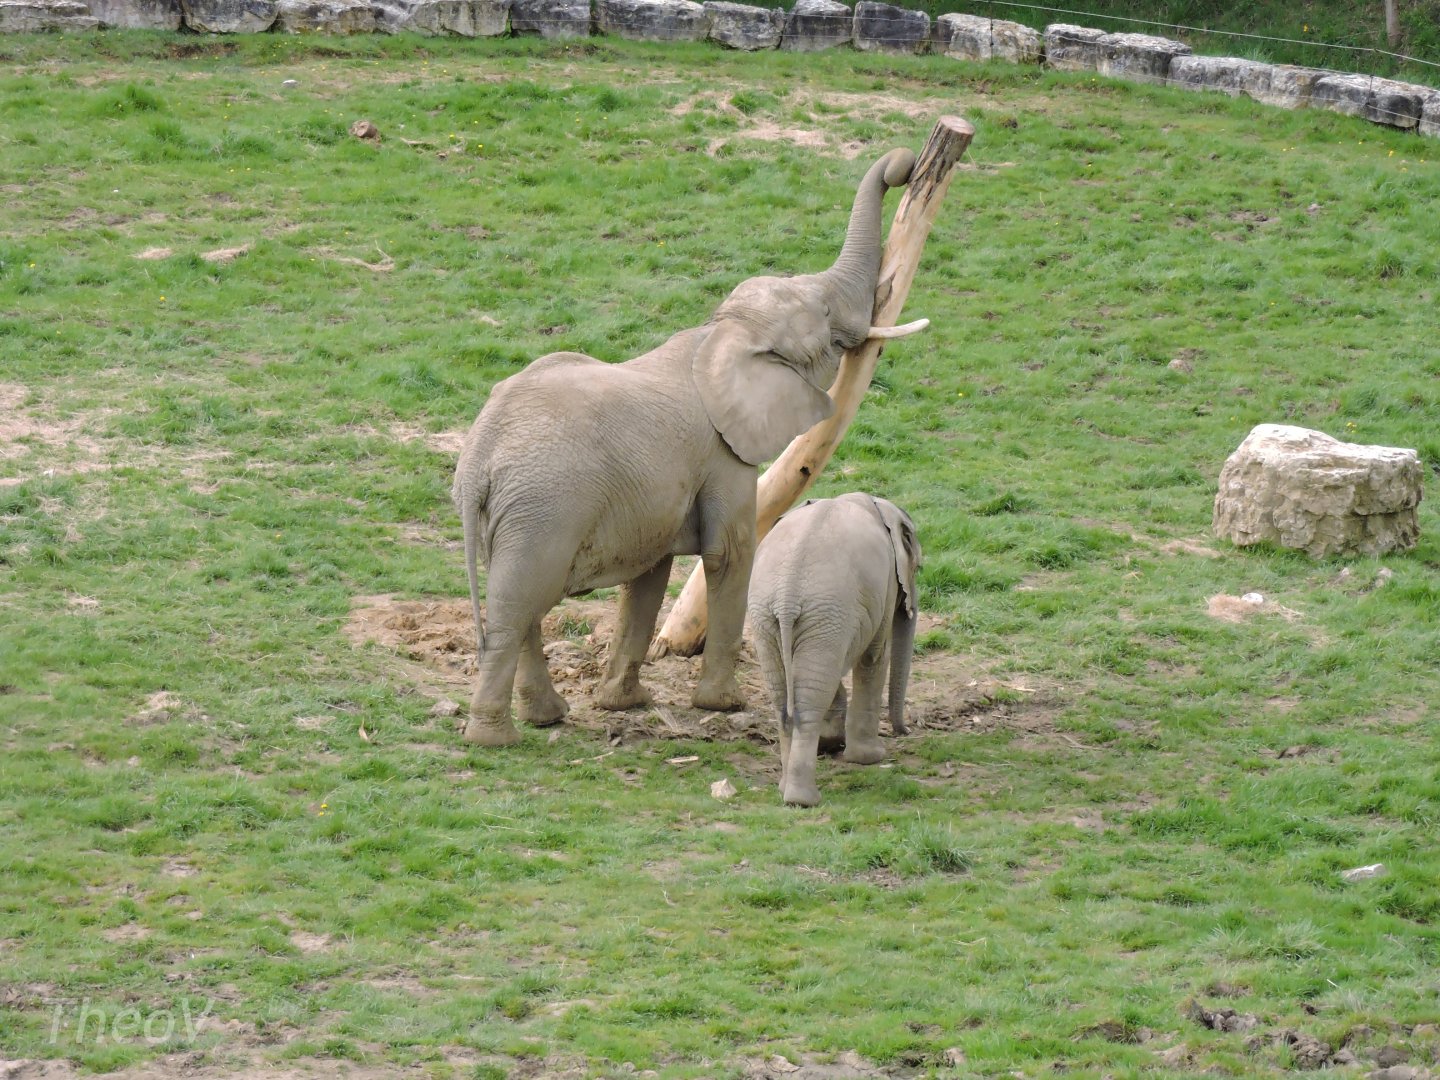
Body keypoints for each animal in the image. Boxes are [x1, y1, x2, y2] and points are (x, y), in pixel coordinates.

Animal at [452, 148, 922, 747]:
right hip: (544, 506)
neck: (719, 333)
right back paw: (496, 739)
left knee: (524, 602)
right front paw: (723, 704)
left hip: (517, 512)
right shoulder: (723, 453)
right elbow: (731, 552)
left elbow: (648, 574)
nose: (903, 166)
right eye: (822, 318)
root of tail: (477, 458)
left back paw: (547, 716)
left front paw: (624, 703)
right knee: (518, 605)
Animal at [746, 493, 921, 806]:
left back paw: (785, 788)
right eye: (918, 568)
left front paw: (831, 742)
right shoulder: (886, 583)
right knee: (808, 702)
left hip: (767, 618)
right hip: (826, 613)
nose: (906, 730)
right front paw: (871, 758)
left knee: (784, 698)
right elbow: (874, 656)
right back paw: (803, 800)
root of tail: (787, 595)